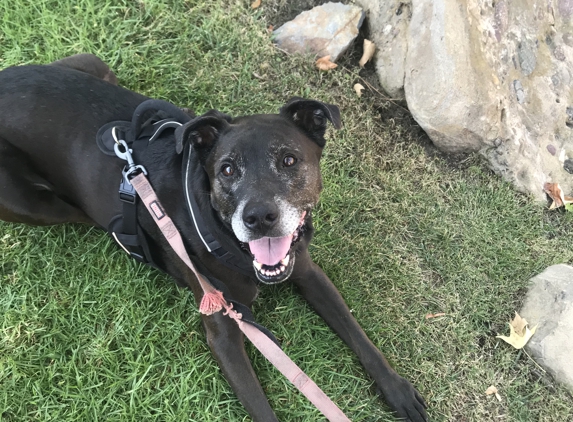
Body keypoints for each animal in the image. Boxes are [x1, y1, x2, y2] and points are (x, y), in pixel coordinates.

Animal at [0, 54, 424, 420]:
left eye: (289, 160)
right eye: (227, 169)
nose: (259, 217)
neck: (232, 245)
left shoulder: (307, 271)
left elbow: (359, 337)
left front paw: (398, 391)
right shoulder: (223, 331)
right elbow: (263, 409)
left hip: (92, 63)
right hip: (38, 205)